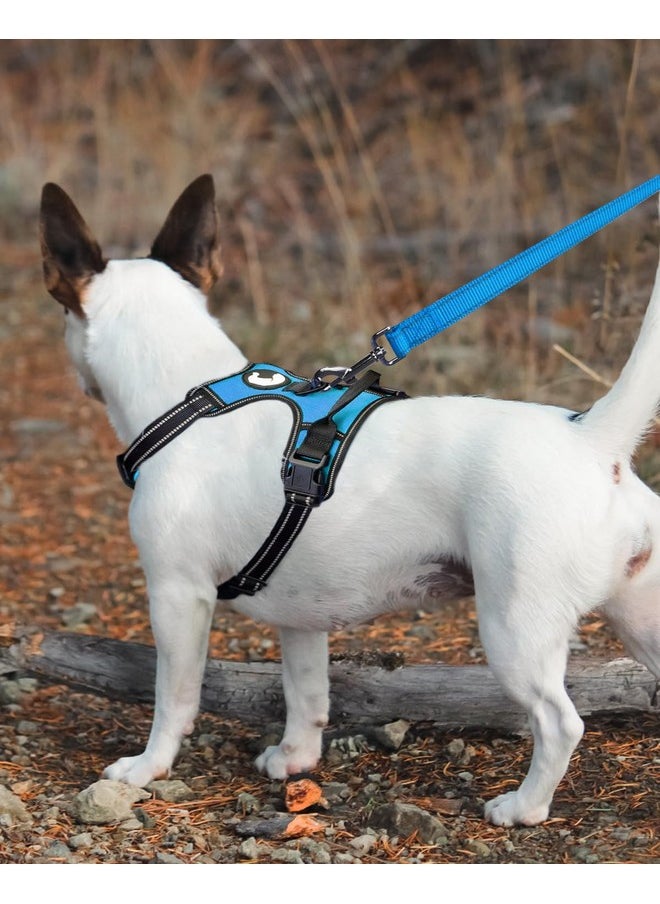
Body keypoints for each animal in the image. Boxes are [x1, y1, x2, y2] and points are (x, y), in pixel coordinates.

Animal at [40, 171, 660, 828]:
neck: (192, 397)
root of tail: (593, 438)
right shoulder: (300, 617)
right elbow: (306, 691)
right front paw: (296, 758)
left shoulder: (177, 597)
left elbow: (174, 698)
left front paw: (146, 769)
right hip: (641, 621)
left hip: (516, 629)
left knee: (559, 723)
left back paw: (524, 806)